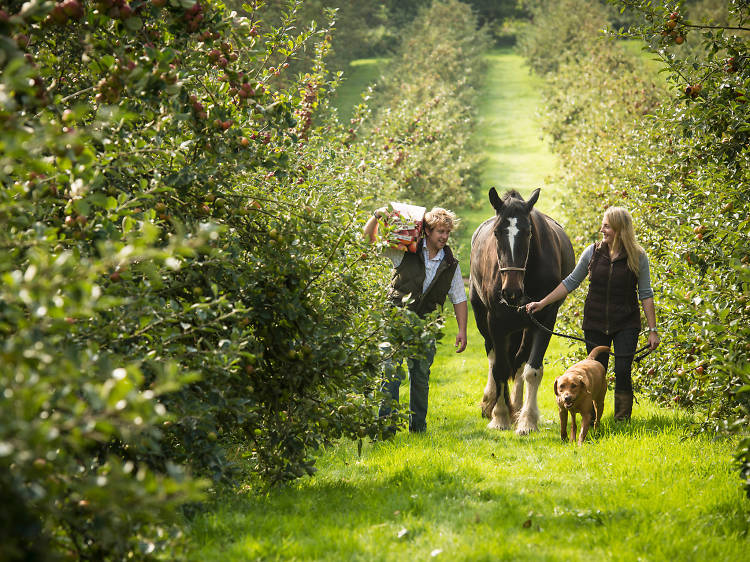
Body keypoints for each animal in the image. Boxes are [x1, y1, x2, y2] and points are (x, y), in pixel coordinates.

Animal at [470, 188, 576, 434]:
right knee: (493, 357)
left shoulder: (544, 319)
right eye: (497, 232)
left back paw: (517, 408)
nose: (511, 291)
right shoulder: (496, 322)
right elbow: (499, 368)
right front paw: (499, 417)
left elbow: (532, 370)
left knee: (519, 362)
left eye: (528, 233)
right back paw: (491, 403)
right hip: (482, 320)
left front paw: (527, 421)